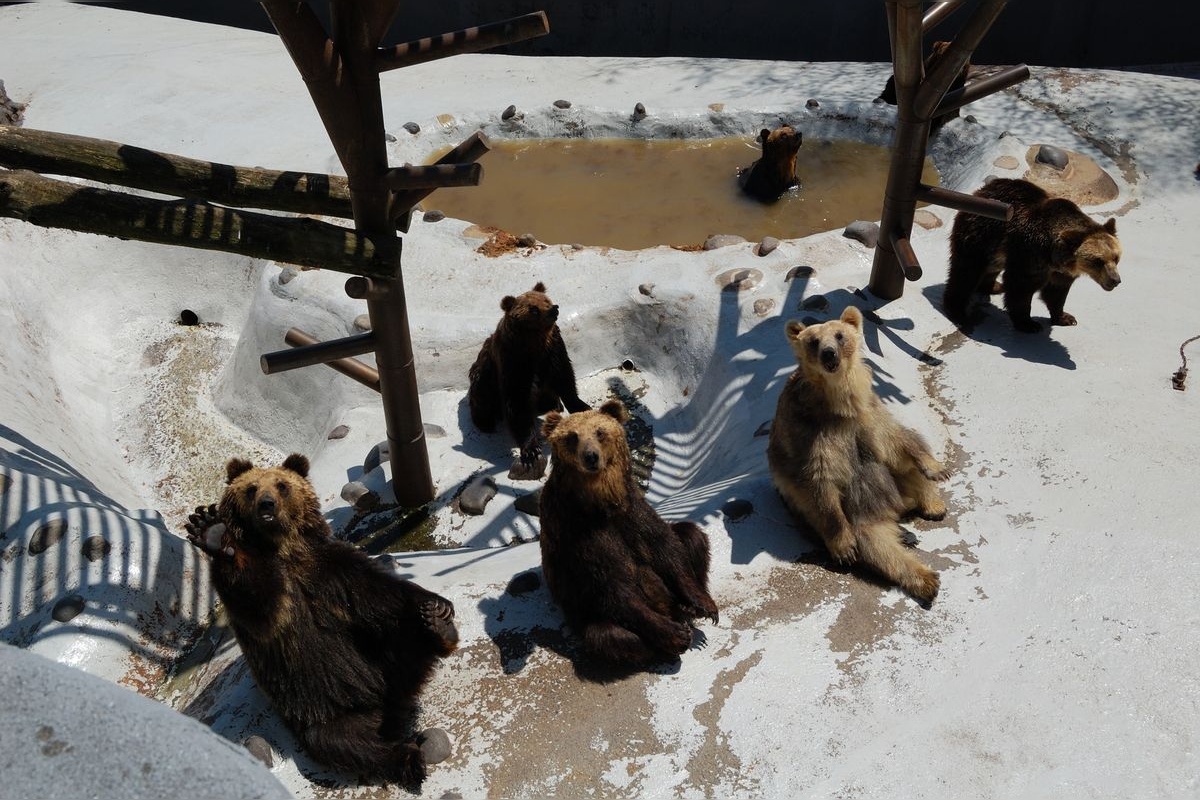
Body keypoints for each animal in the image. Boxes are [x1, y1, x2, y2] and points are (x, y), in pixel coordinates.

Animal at [184, 454, 458, 788]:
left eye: (282, 485)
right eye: (251, 489)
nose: (266, 505)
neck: (284, 549)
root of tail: (385, 706)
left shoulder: (330, 568)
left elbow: (380, 594)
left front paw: (438, 607)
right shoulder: (273, 601)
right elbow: (255, 602)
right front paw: (210, 530)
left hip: (383, 663)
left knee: (406, 640)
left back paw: (439, 629)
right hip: (321, 708)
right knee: (347, 744)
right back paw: (405, 758)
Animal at [467, 282, 590, 471]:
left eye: (546, 300)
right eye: (533, 309)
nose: (554, 309)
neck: (534, 343)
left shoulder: (553, 350)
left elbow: (565, 378)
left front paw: (582, 406)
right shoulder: (514, 360)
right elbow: (517, 402)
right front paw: (531, 450)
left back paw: (553, 404)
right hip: (485, 376)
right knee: (482, 393)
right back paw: (485, 422)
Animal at [538, 400, 719, 667]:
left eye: (599, 432)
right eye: (572, 437)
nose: (590, 456)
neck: (600, 499)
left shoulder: (631, 508)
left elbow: (667, 549)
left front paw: (703, 605)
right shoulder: (578, 531)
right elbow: (613, 584)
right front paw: (675, 635)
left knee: (691, 534)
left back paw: (687, 608)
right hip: (586, 615)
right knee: (608, 636)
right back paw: (666, 643)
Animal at [767, 307, 949, 605]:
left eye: (840, 335)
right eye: (814, 341)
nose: (829, 354)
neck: (839, 401)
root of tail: (895, 509)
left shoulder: (868, 413)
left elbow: (895, 441)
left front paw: (937, 470)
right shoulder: (811, 433)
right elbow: (820, 481)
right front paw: (844, 548)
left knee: (903, 466)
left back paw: (933, 506)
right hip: (859, 514)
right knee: (880, 546)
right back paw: (925, 578)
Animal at [944, 178, 1122, 333]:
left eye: (1116, 258)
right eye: (1098, 261)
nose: (1115, 280)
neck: (1053, 255)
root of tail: (981, 190)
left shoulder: (1060, 271)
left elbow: (1056, 292)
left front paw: (1065, 318)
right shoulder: (1030, 254)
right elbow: (1020, 288)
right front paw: (1028, 324)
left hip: (997, 248)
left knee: (991, 266)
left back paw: (994, 286)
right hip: (981, 233)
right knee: (966, 272)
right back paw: (957, 310)